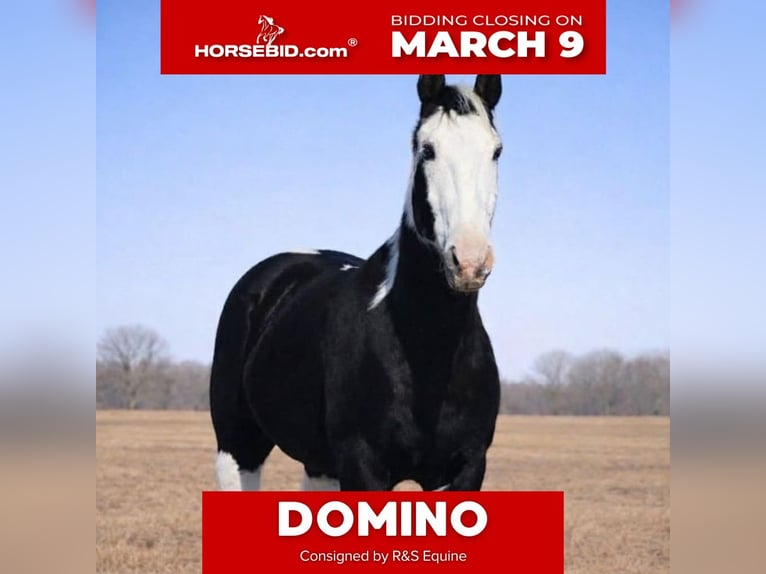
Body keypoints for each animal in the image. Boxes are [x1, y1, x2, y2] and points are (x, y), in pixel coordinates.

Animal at [211, 75, 503, 492]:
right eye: (427, 150)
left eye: (496, 151)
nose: (469, 260)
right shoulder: (362, 466)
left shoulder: (464, 469)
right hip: (237, 447)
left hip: (319, 464)